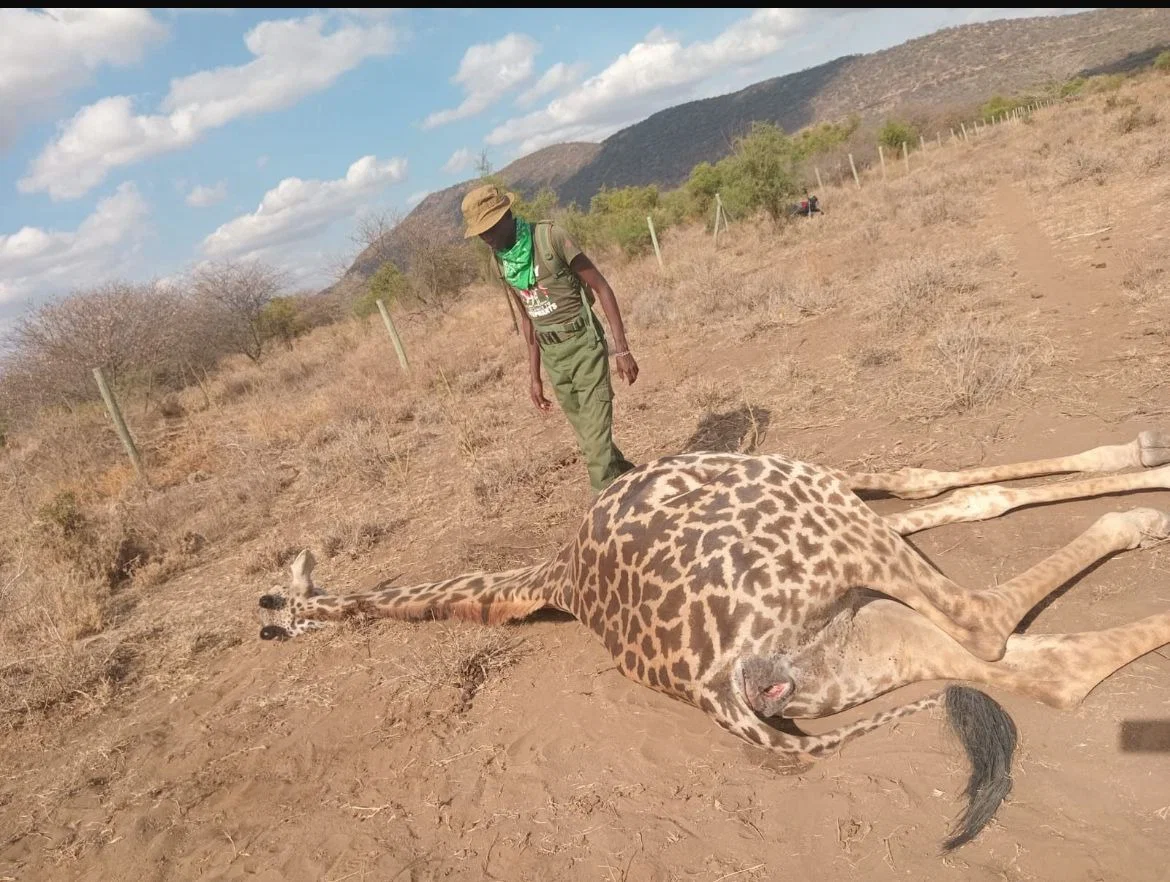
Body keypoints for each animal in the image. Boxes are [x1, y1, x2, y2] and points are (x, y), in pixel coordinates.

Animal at [255, 429, 1170, 851]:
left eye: (282, 613)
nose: (274, 622)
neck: (551, 579)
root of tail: (720, 692)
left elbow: (956, 495)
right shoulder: (822, 485)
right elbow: (944, 484)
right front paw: (1146, 455)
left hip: (862, 637)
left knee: (1049, 670)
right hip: (820, 520)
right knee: (987, 624)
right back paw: (1140, 517)